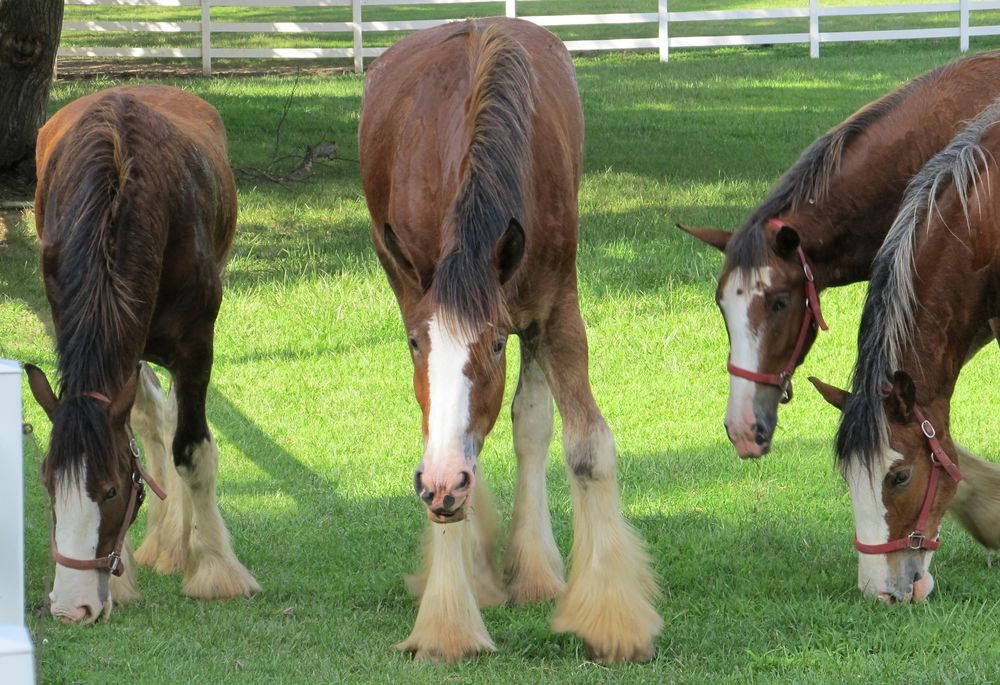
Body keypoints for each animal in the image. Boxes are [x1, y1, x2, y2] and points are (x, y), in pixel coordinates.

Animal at [26, 85, 259, 623]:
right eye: (49, 484)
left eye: (111, 489)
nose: (71, 608)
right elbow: (139, 432)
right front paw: (124, 576)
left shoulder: (195, 349)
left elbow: (191, 451)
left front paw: (214, 569)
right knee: (153, 420)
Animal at [359, 18, 661, 663]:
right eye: (415, 345)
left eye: (495, 345)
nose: (440, 481)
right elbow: (446, 458)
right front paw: (448, 624)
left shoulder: (554, 312)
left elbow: (584, 445)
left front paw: (612, 617)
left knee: (529, 426)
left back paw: (536, 571)